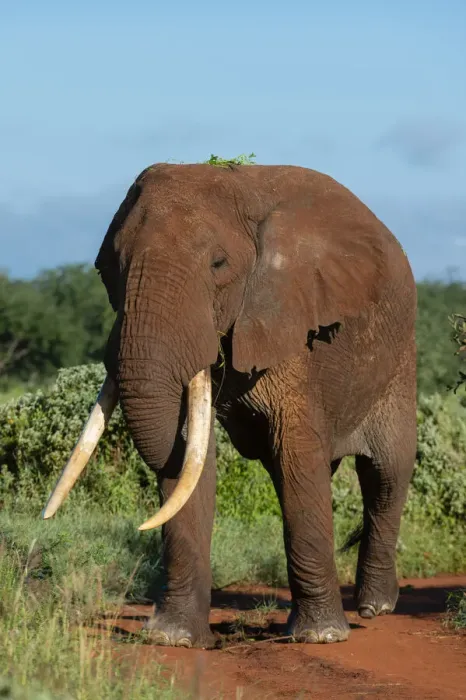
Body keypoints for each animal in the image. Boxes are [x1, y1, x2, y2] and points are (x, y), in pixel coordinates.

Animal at [43, 163, 417, 647]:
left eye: (218, 265)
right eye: (108, 268)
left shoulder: (286, 317)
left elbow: (295, 453)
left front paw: (321, 637)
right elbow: (188, 456)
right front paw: (173, 638)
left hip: (400, 356)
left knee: (386, 471)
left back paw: (375, 607)